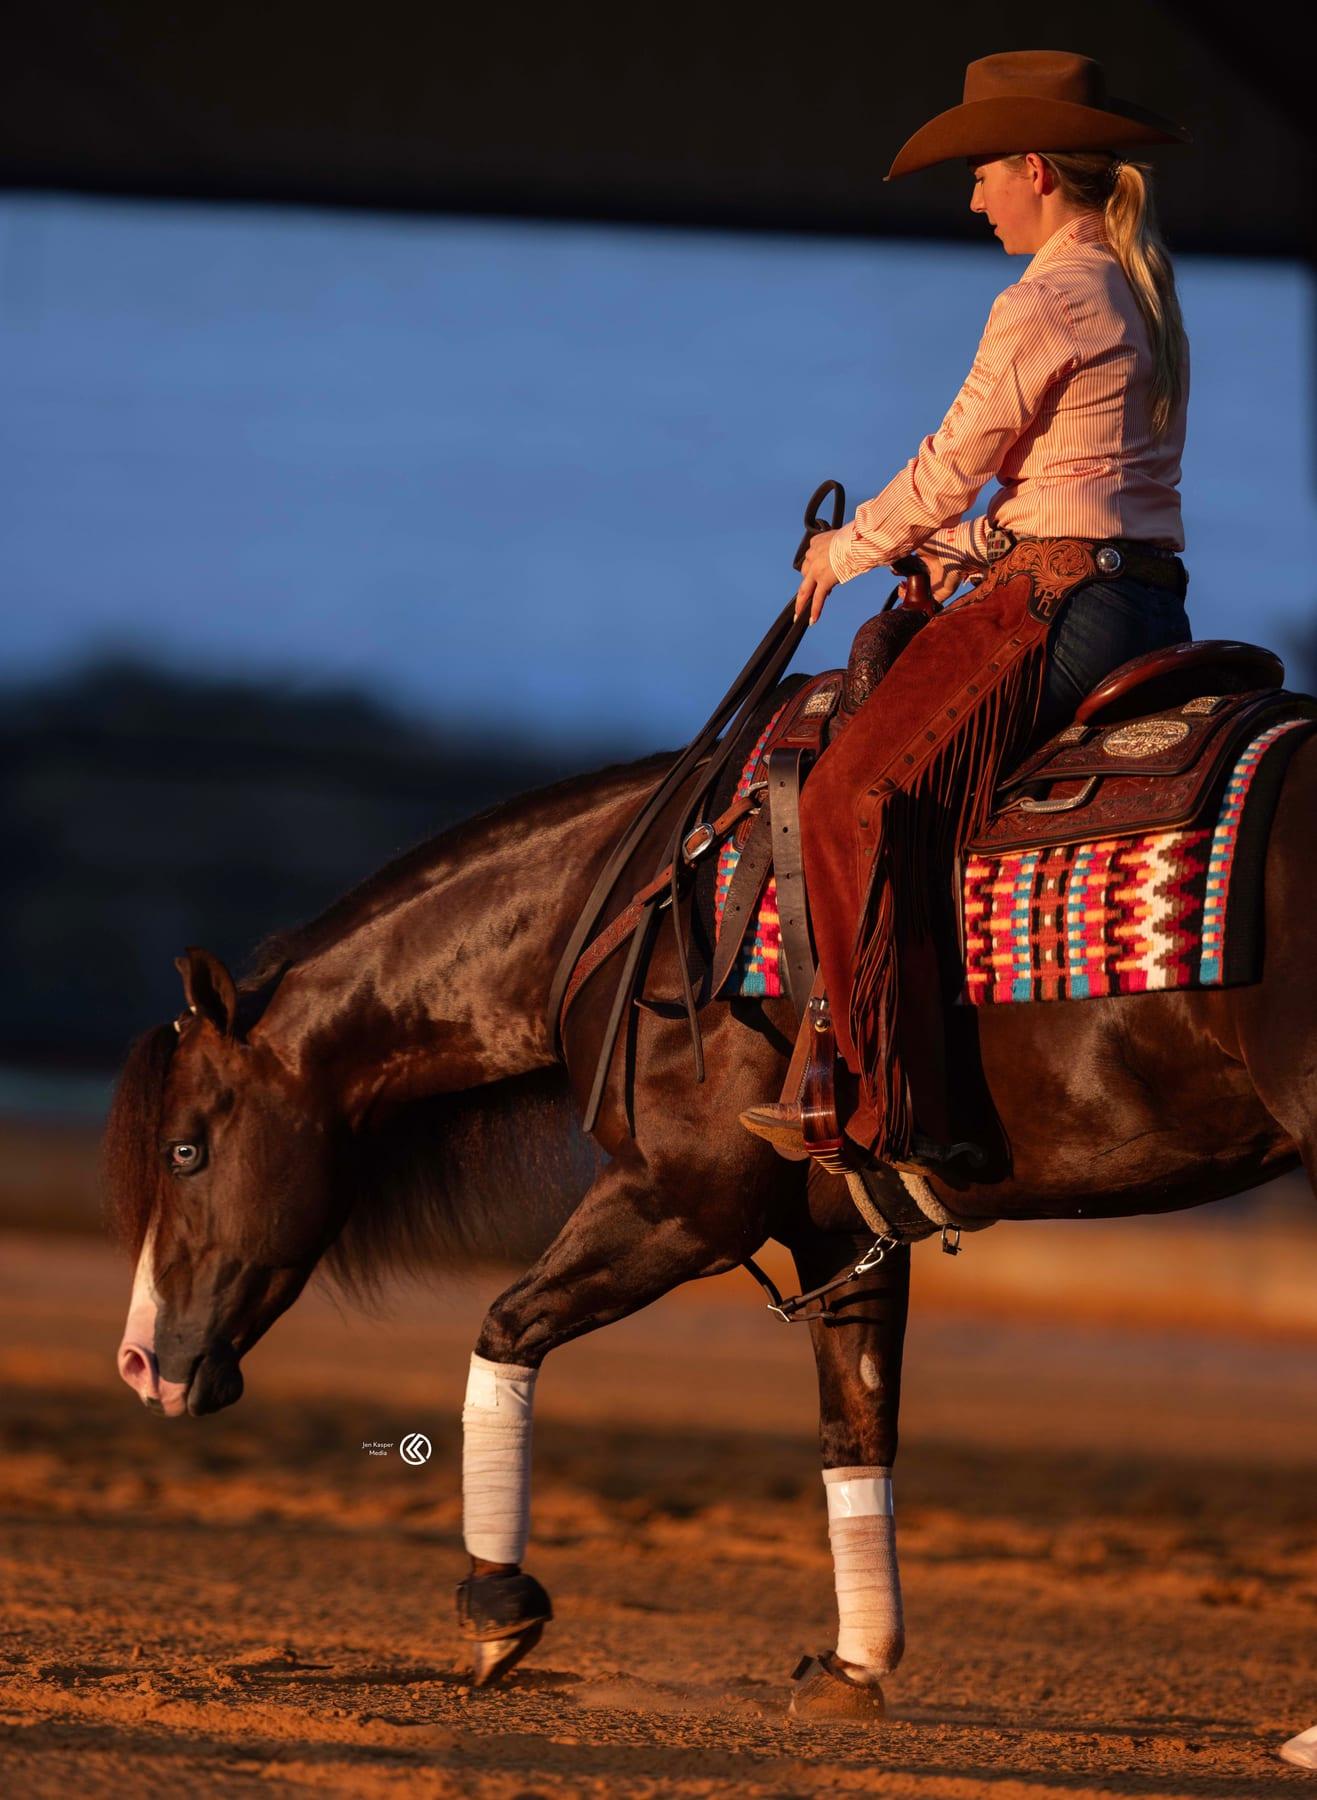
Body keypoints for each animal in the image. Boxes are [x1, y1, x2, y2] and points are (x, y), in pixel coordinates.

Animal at [105, 715, 1317, 1752]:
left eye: (184, 1150)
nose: (140, 1363)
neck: (632, 921)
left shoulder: (681, 1201)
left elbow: (507, 1328)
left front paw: (497, 1606)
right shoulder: (840, 1238)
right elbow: (855, 1432)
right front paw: (853, 1671)